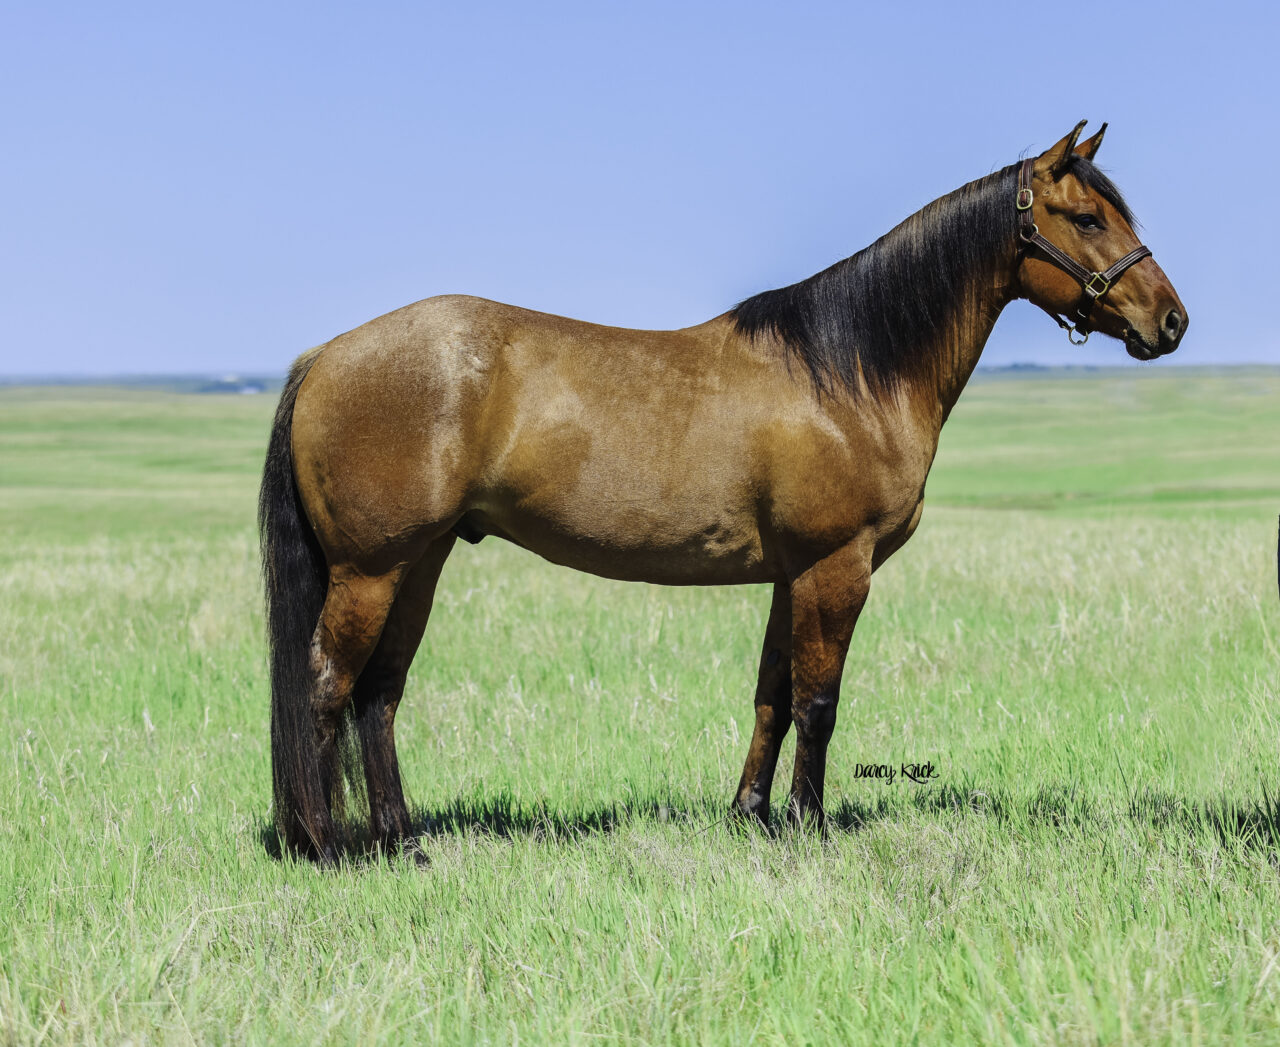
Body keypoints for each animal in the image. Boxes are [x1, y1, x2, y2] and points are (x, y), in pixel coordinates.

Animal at [260, 121, 1187, 863]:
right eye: (1088, 217)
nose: (1172, 321)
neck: (848, 371)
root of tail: (324, 357)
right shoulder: (836, 566)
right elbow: (818, 701)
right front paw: (811, 826)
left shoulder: (790, 574)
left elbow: (772, 694)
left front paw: (752, 815)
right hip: (372, 569)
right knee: (328, 685)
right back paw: (328, 846)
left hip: (419, 562)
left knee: (380, 693)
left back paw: (403, 840)